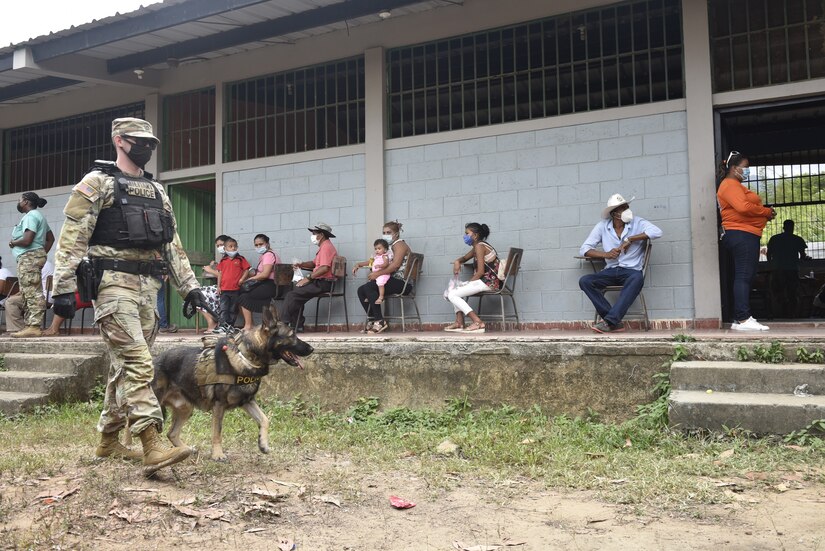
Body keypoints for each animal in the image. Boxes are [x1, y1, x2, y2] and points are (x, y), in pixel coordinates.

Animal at [151, 304, 312, 460]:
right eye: (292, 336)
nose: (311, 349)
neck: (246, 357)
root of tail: (153, 360)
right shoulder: (219, 405)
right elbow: (217, 432)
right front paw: (217, 454)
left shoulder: (247, 401)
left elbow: (265, 419)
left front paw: (263, 443)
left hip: (186, 408)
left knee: (171, 433)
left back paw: (185, 450)